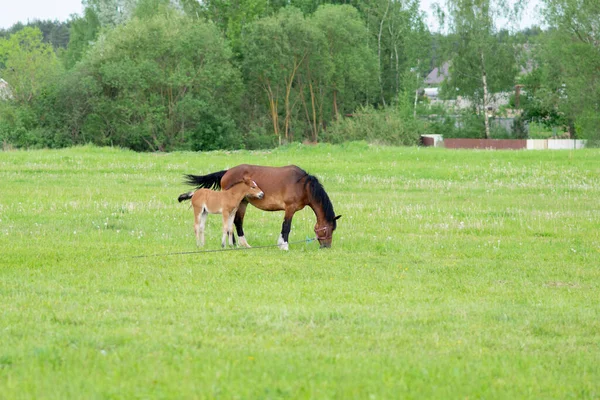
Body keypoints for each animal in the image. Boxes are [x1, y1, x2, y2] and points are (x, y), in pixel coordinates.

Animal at [185, 164, 340, 248]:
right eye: (328, 229)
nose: (326, 246)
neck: (303, 185)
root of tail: (226, 172)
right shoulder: (290, 209)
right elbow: (286, 227)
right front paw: (284, 245)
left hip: (242, 203)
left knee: (234, 222)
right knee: (236, 222)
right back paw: (239, 243)